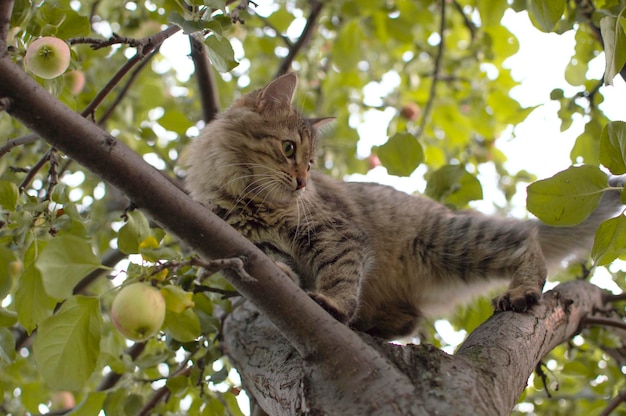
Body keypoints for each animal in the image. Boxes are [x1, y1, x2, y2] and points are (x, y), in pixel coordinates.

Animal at [184, 74, 620, 342]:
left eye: (310, 163)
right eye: (289, 149)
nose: (302, 183)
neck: (245, 197)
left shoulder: (335, 233)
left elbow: (340, 273)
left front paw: (332, 302)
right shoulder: (244, 237)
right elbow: (271, 258)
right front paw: (282, 274)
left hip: (451, 242)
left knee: (525, 241)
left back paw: (522, 289)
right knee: (411, 321)